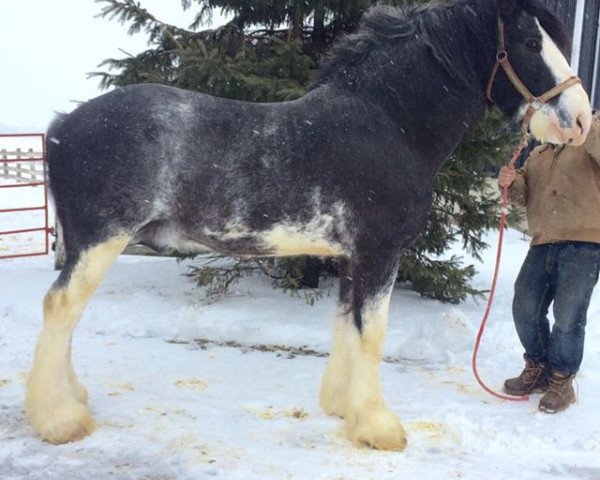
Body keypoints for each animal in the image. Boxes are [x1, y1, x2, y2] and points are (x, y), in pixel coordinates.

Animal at [27, 0, 592, 450]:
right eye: (529, 41)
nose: (582, 119)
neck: (390, 123)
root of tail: (61, 127)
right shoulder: (379, 254)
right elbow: (372, 334)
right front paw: (380, 428)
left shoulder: (350, 258)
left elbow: (346, 327)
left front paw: (344, 409)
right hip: (101, 243)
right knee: (59, 307)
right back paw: (59, 420)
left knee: (67, 313)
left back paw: (71, 400)